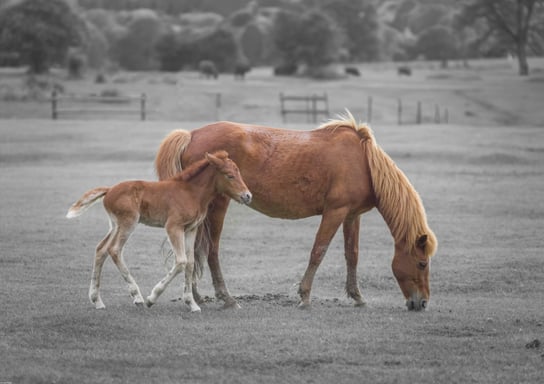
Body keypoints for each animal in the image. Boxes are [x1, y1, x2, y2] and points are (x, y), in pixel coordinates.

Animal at [155, 112, 436, 310]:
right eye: (422, 263)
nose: (421, 303)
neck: (364, 162)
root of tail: (191, 135)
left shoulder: (351, 215)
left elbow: (352, 255)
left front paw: (357, 296)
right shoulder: (334, 212)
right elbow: (318, 252)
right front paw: (305, 296)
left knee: (195, 251)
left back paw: (196, 296)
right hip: (218, 206)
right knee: (211, 251)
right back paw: (226, 298)